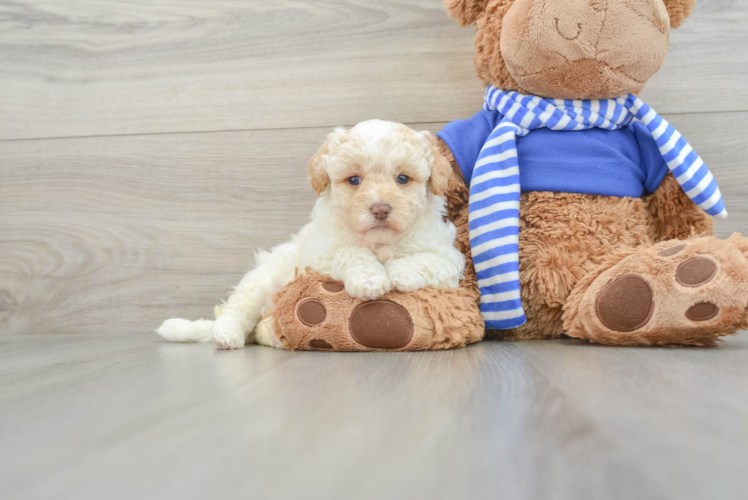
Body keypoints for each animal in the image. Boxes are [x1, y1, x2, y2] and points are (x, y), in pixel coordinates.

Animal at [156, 119, 464, 350]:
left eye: (402, 179)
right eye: (354, 180)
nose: (380, 209)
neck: (379, 242)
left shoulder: (450, 257)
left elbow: (427, 260)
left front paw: (398, 272)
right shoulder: (323, 251)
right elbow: (352, 252)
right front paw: (371, 280)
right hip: (260, 282)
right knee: (235, 310)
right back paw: (226, 335)